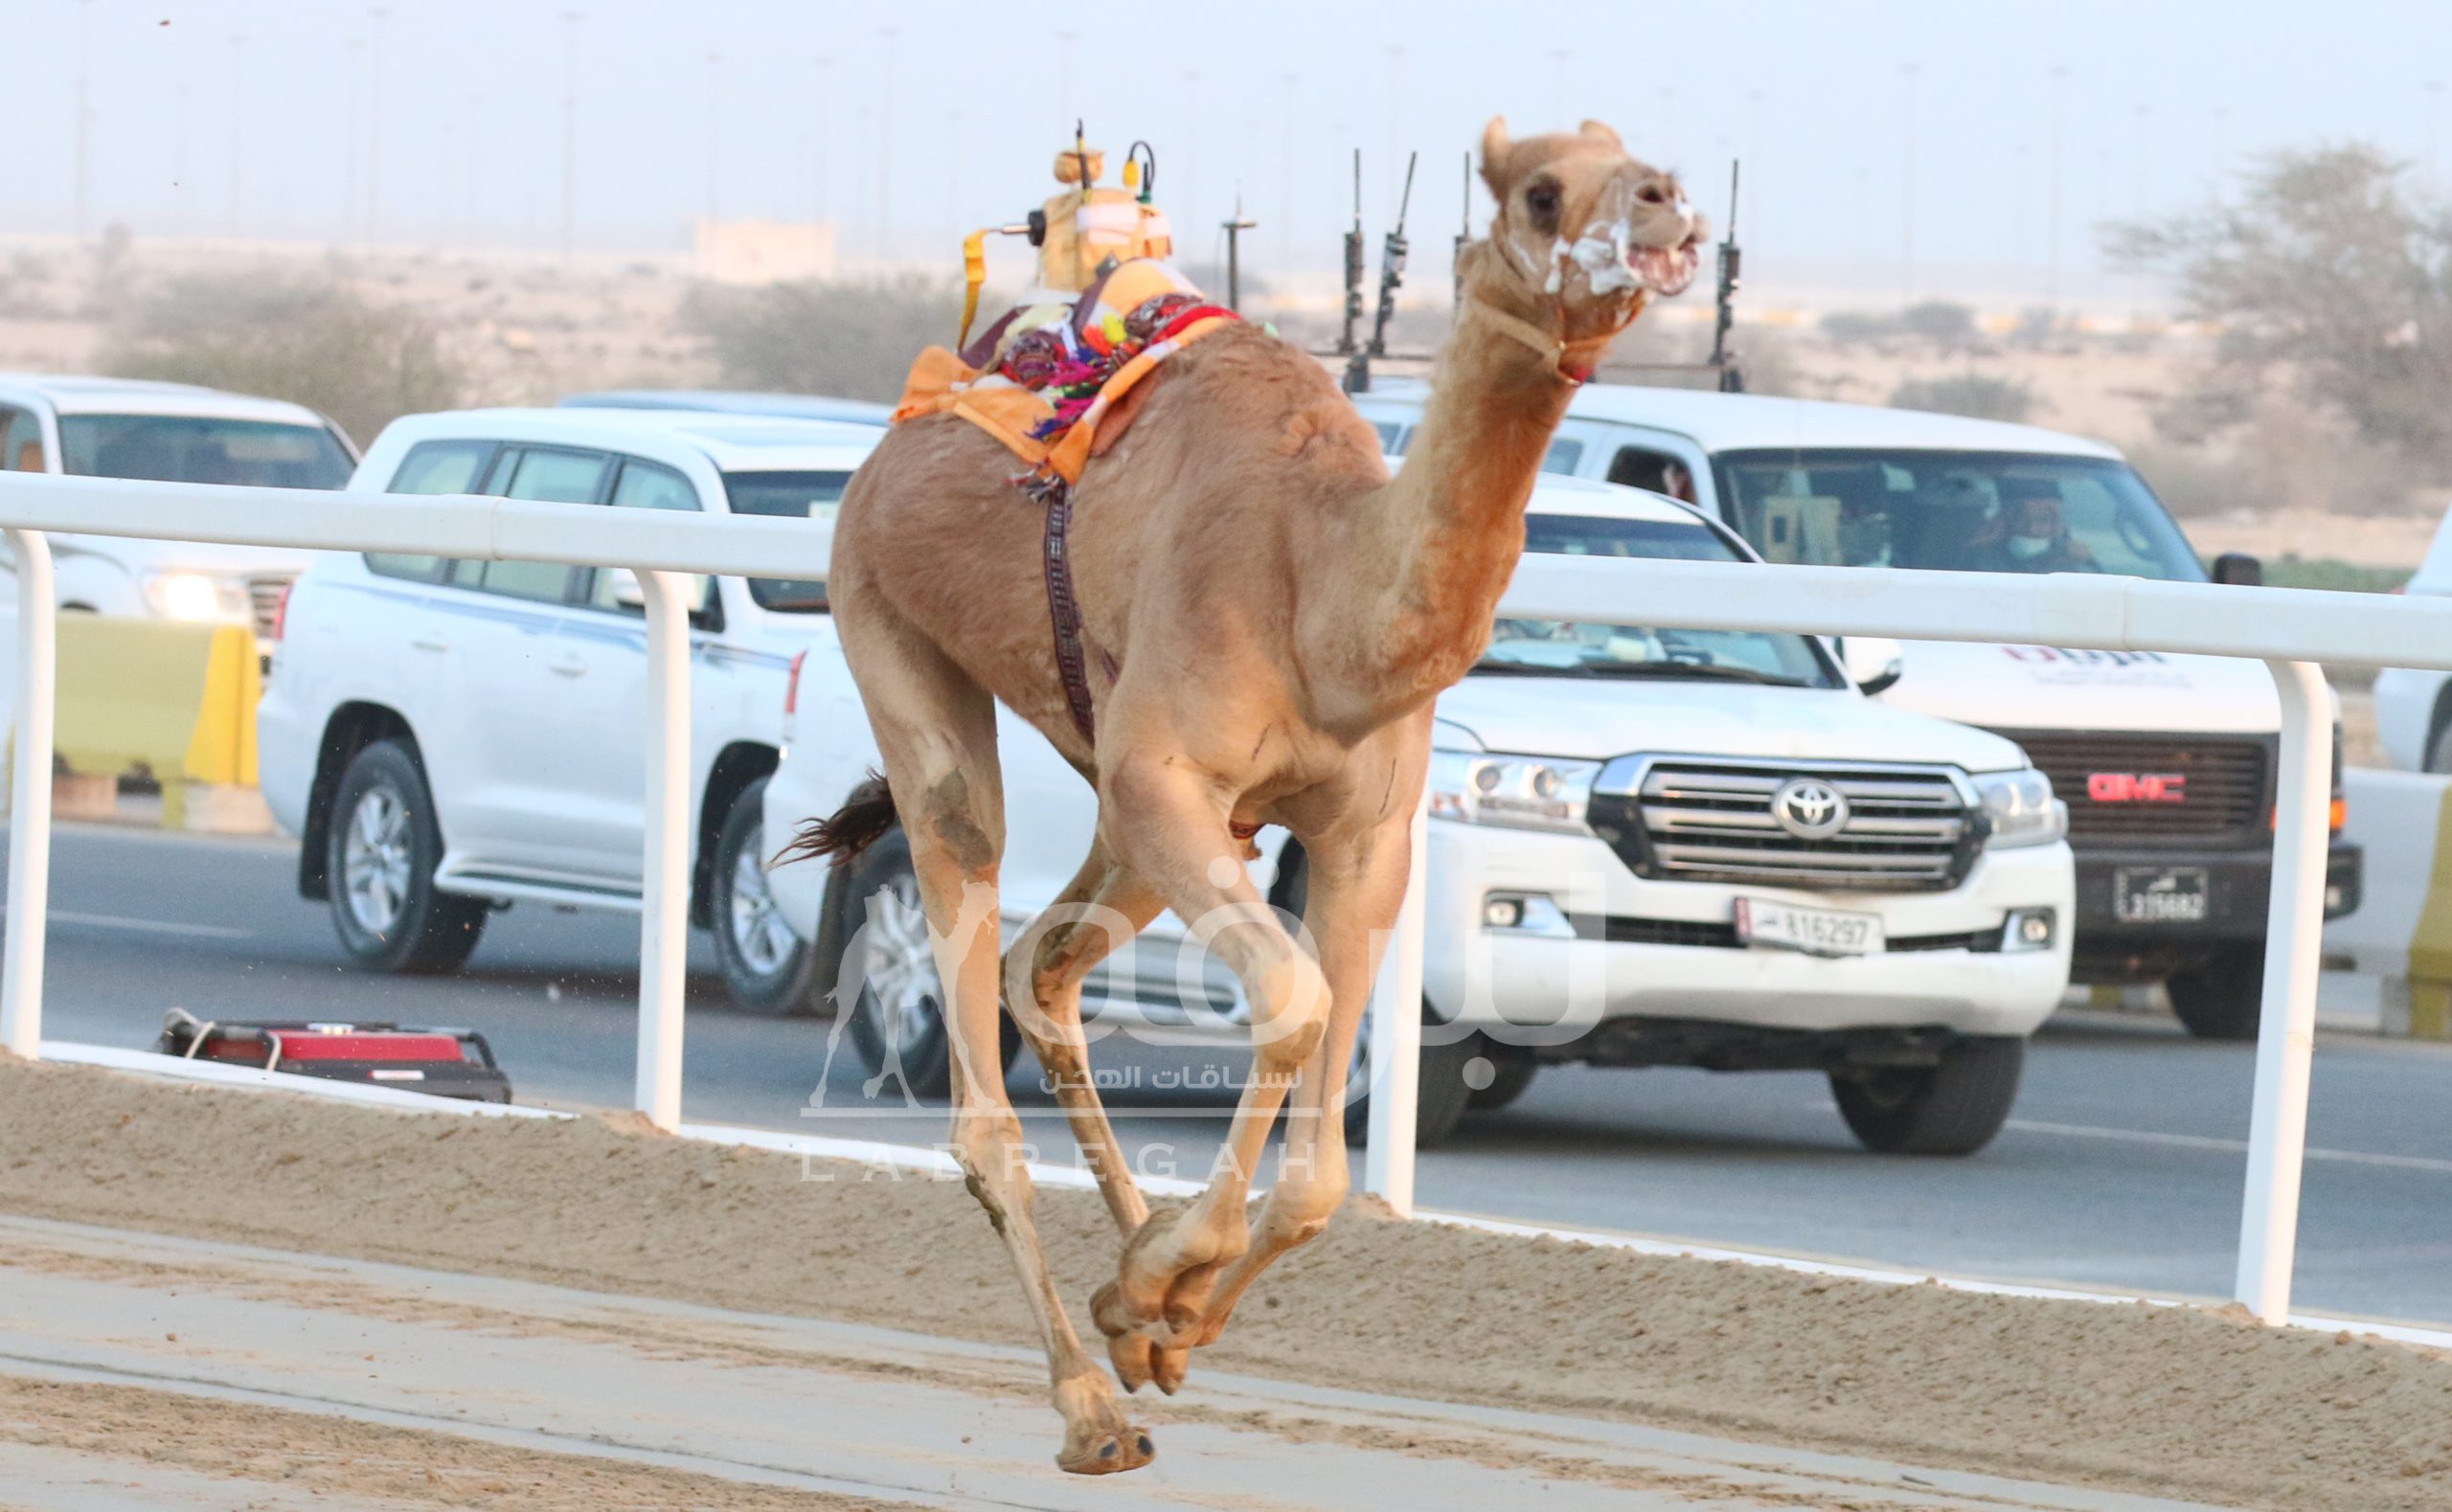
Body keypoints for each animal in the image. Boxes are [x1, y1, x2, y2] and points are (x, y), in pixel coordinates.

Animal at [804, 121, 1706, 1470]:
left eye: (1641, 159)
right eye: (1541, 190)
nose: (1665, 209)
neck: (1318, 590)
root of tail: (892, 437)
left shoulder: (1365, 834)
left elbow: (1323, 1167)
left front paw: (1164, 1309)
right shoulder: (1169, 775)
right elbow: (1292, 1002)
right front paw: (1153, 1287)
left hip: (1125, 811)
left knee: (1039, 968)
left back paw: (1130, 1309)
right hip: (891, 623)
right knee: (975, 1003)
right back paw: (1089, 1405)